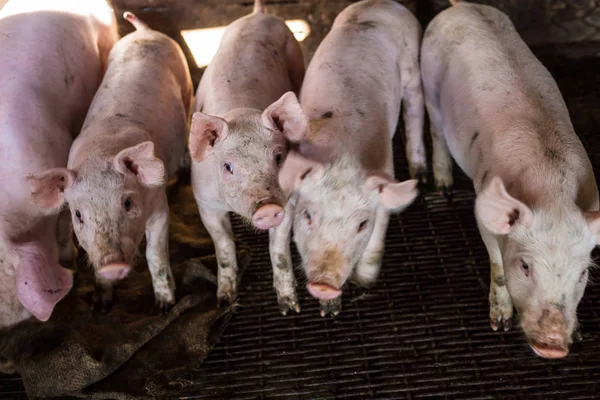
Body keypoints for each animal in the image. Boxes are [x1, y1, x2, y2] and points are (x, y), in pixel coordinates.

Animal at [29, 11, 192, 312]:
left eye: (127, 202)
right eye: (78, 215)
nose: (113, 265)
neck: (101, 152)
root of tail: (144, 31)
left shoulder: (159, 206)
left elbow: (155, 255)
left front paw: (165, 306)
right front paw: (100, 306)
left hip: (187, 88)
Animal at [189, 0, 310, 312]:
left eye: (278, 158)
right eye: (228, 167)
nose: (267, 207)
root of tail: (259, 14)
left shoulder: (289, 198)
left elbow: (279, 249)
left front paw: (290, 307)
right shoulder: (204, 202)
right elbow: (224, 247)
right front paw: (223, 300)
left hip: (296, 56)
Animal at [276, 0, 422, 318]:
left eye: (361, 225)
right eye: (307, 216)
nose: (324, 285)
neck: (343, 154)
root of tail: (383, 3)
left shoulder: (384, 177)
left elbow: (378, 240)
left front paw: (362, 283)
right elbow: (279, 241)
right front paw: (296, 309)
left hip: (412, 66)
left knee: (415, 110)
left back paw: (423, 173)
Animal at [420, 0, 600, 358]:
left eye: (583, 273)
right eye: (526, 266)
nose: (553, 345)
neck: (552, 190)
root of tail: (462, 7)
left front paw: (578, 336)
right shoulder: (482, 212)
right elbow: (497, 264)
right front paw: (498, 325)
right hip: (428, 82)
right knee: (436, 132)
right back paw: (443, 187)